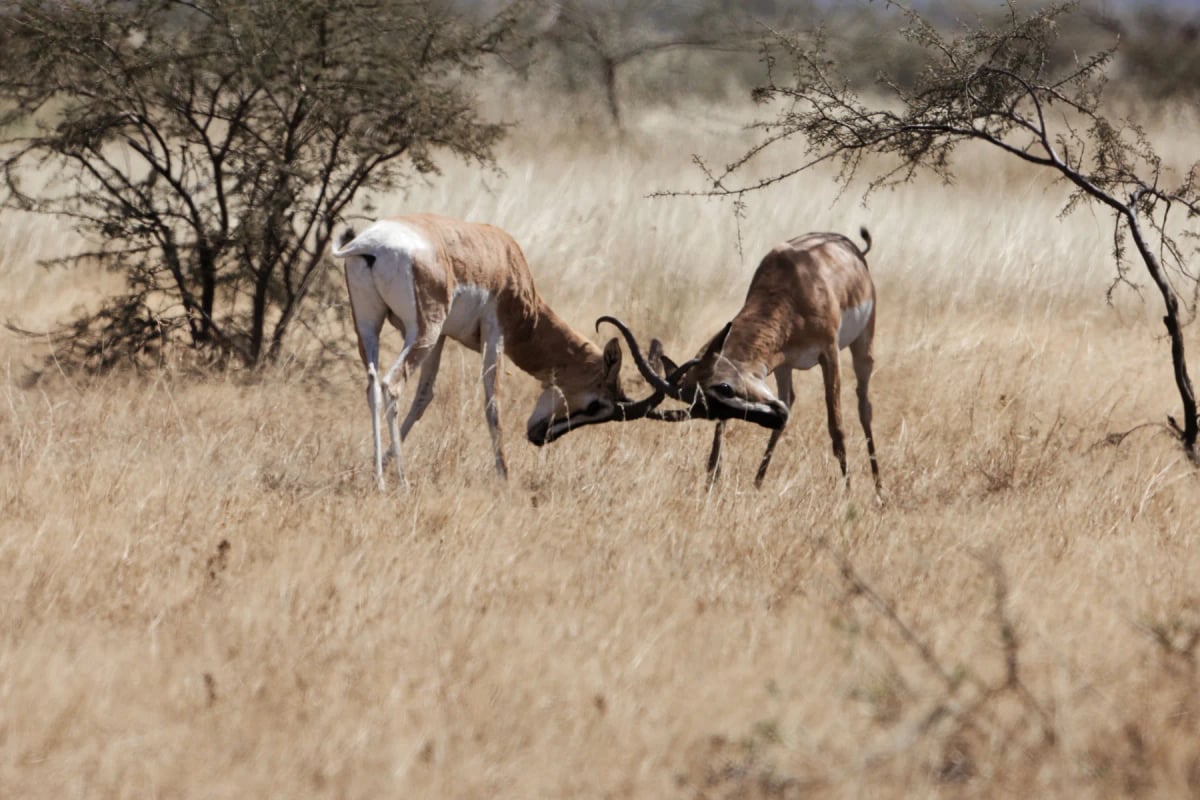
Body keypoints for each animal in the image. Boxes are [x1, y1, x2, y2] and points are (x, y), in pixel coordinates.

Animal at [332, 213, 666, 489]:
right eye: (597, 405)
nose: (539, 436)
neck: (505, 257)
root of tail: (369, 246)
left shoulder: (442, 338)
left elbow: (424, 397)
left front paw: (379, 463)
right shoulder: (494, 336)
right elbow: (493, 404)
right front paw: (504, 476)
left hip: (371, 327)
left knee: (373, 384)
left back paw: (378, 477)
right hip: (422, 332)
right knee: (391, 384)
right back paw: (400, 481)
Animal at [599, 228, 881, 493]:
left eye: (724, 388)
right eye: (710, 409)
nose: (774, 417)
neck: (793, 286)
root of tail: (852, 249)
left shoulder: (829, 353)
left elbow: (837, 428)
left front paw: (848, 494)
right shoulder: (781, 362)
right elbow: (720, 437)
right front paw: (711, 484)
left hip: (862, 345)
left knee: (864, 406)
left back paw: (879, 492)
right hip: (784, 369)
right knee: (790, 400)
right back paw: (757, 483)